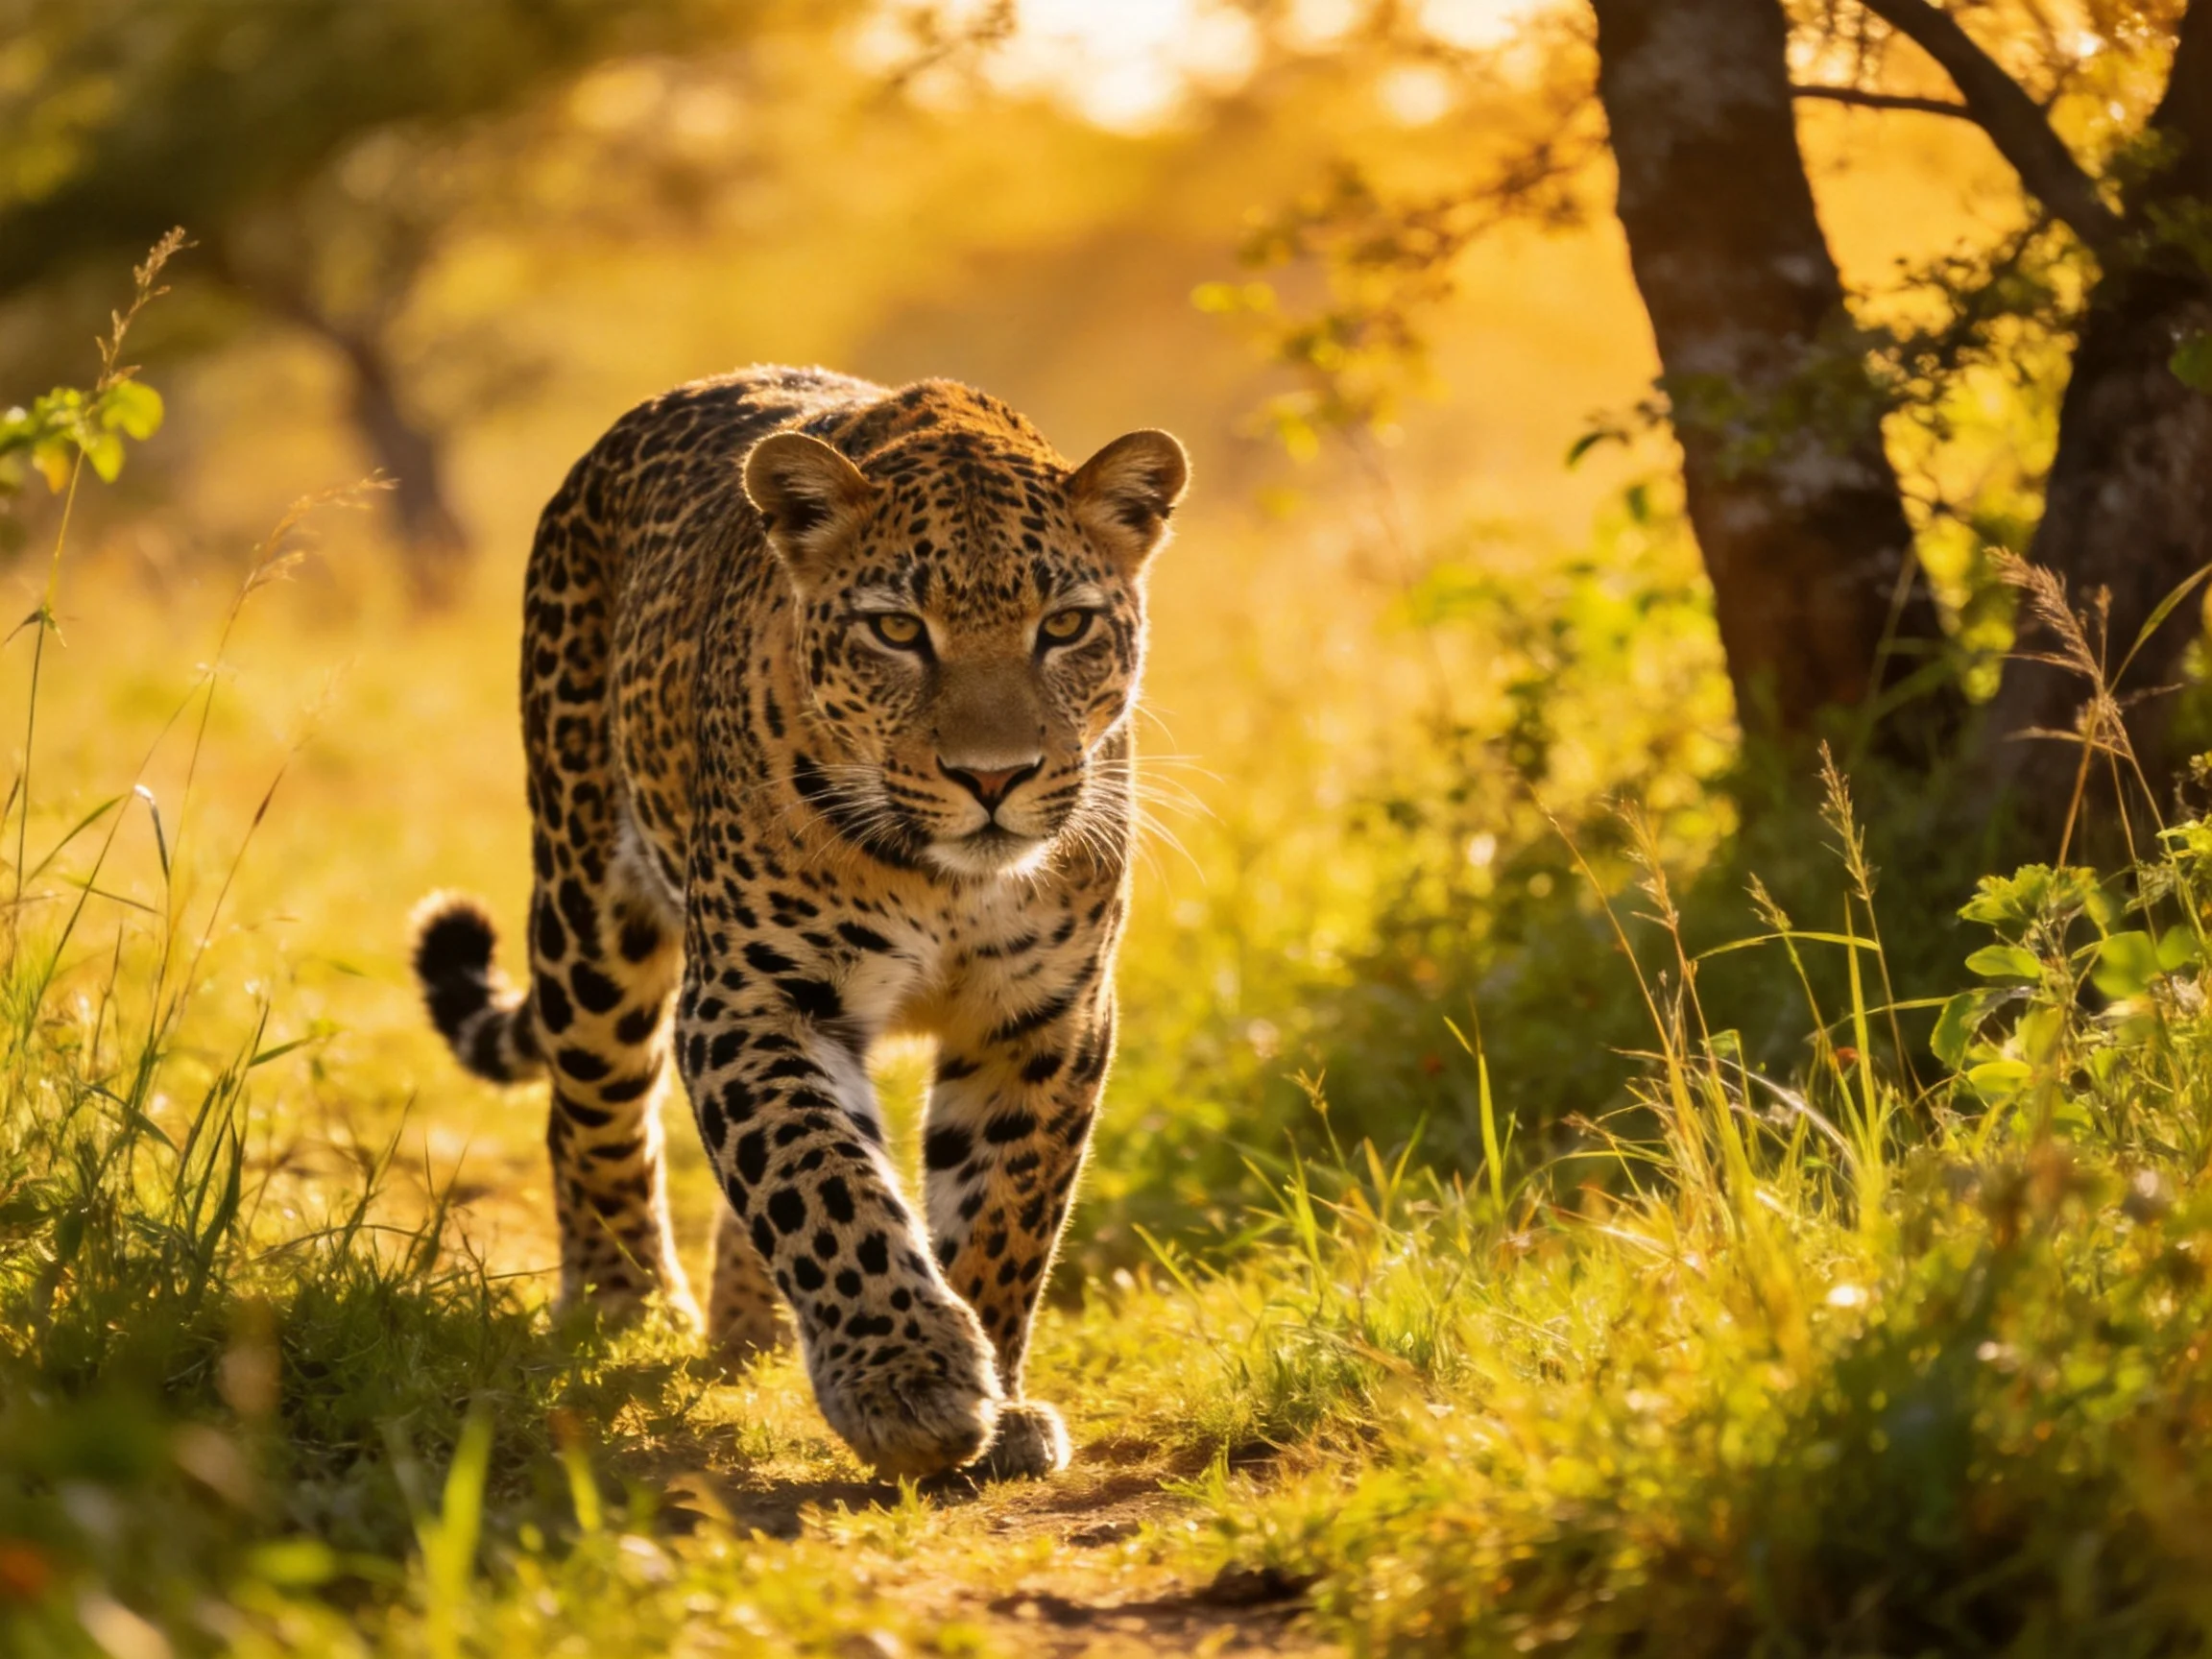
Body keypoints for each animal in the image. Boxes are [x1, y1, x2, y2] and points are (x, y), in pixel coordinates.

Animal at [409, 365, 1188, 1482]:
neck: (948, 882)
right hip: (591, 910)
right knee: (592, 1110)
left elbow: (1004, 1210)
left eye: (1067, 627)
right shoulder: (754, 997)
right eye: (897, 631)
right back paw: (624, 1308)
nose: (993, 778)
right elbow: (818, 1180)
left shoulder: (1048, 1017)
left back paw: (755, 1331)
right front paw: (908, 1381)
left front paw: (996, 1397)